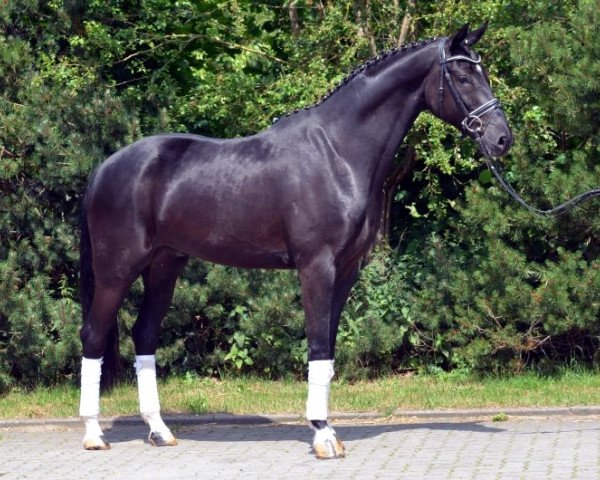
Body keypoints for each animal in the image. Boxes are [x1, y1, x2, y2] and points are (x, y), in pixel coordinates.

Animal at [78, 23, 510, 458]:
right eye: (462, 76)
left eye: (483, 72)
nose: (502, 138)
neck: (338, 152)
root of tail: (105, 168)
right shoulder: (316, 266)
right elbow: (317, 344)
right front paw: (322, 435)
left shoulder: (346, 270)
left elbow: (328, 349)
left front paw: (328, 429)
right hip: (117, 269)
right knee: (93, 336)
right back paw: (94, 434)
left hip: (165, 265)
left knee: (144, 335)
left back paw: (159, 430)